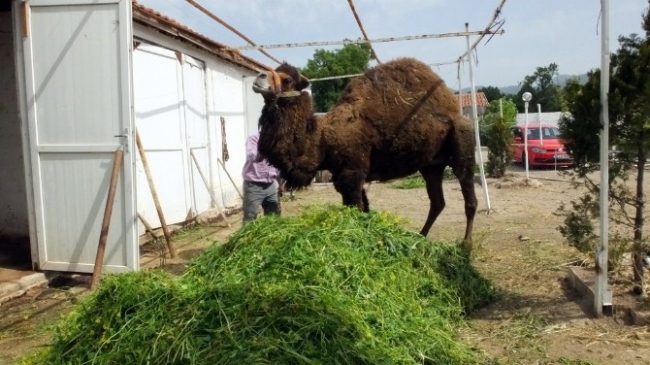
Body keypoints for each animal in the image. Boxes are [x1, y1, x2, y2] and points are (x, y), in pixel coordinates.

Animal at [251, 57, 478, 245]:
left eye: (287, 79)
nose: (259, 77)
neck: (322, 139)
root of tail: (454, 107)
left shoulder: (352, 172)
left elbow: (358, 209)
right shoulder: (341, 176)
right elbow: (363, 209)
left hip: (462, 143)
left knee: (468, 195)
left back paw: (465, 245)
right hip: (432, 165)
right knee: (437, 202)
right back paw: (420, 237)